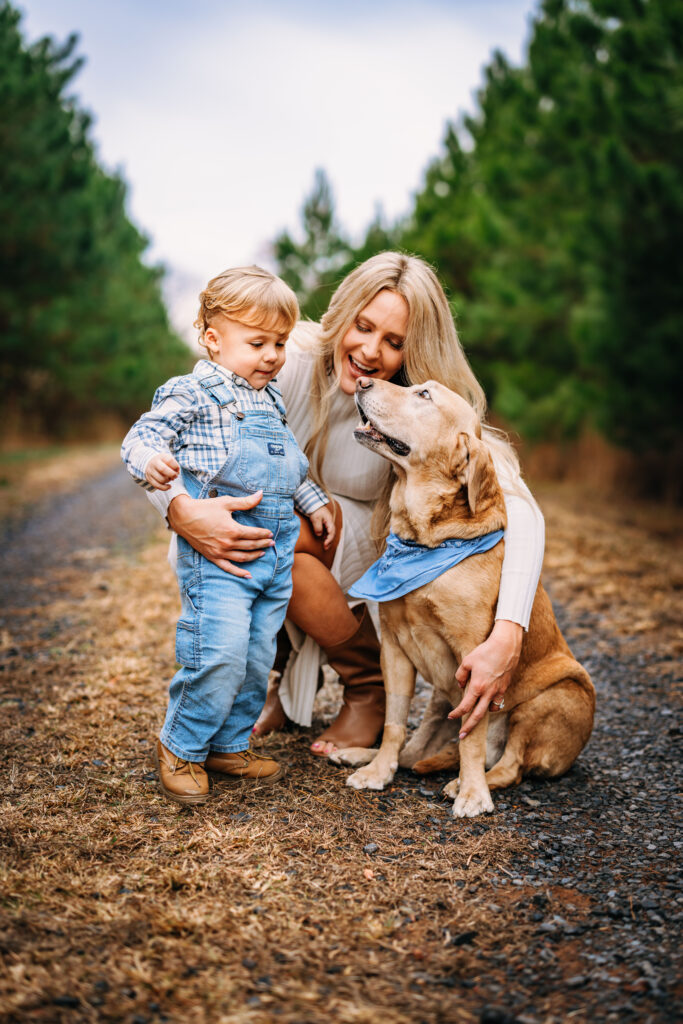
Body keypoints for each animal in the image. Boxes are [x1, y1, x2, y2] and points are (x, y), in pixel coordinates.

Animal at [333, 376, 593, 815]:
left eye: (423, 395)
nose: (363, 380)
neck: (426, 542)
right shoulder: (394, 649)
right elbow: (393, 722)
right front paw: (378, 771)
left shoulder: (478, 661)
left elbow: (471, 738)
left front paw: (473, 792)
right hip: (440, 702)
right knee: (414, 750)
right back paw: (359, 753)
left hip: (553, 697)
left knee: (510, 765)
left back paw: (465, 782)